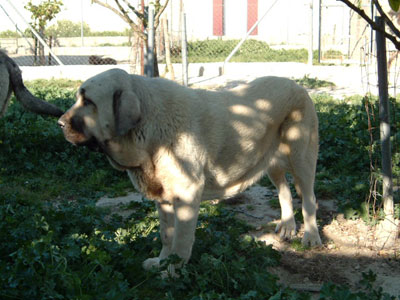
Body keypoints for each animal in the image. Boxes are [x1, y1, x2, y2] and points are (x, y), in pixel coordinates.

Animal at [58, 69, 322, 274]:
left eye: (88, 102)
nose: (59, 123)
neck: (148, 126)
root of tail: (297, 85)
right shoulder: (164, 200)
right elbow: (166, 236)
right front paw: (161, 263)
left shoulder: (186, 195)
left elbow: (181, 242)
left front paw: (173, 272)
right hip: (271, 163)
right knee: (284, 191)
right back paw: (288, 226)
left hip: (302, 160)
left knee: (309, 199)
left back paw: (311, 237)